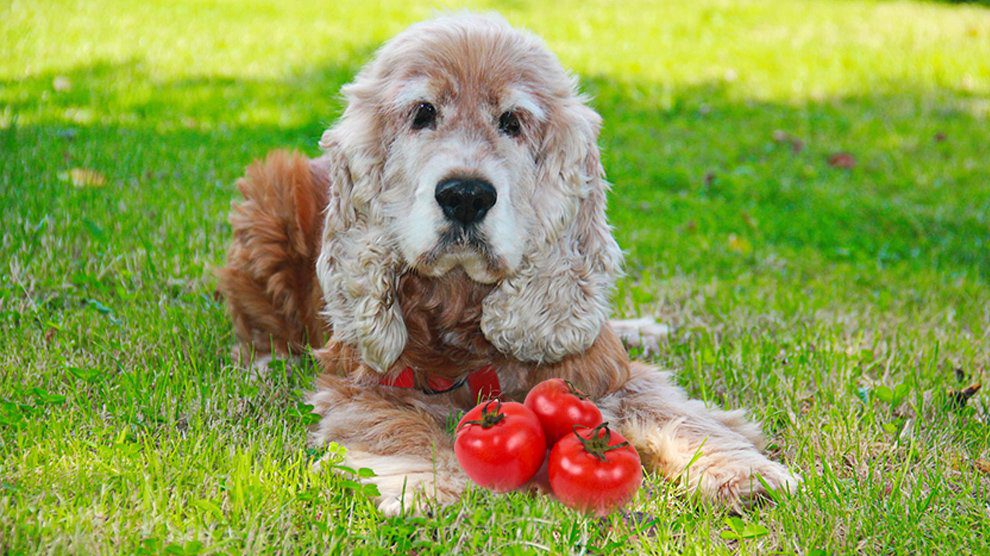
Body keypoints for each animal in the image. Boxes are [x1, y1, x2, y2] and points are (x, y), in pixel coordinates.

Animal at [217, 14, 800, 516]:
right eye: (422, 113)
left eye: (512, 122)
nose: (466, 196)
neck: (460, 304)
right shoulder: (360, 382)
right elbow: (396, 427)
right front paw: (430, 486)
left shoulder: (604, 375)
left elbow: (677, 415)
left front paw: (746, 474)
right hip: (269, 194)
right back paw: (266, 362)